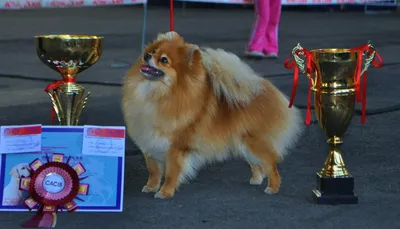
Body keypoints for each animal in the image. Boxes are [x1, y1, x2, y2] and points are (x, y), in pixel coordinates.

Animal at [122, 30, 304, 199]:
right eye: (152, 51)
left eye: (164, 60)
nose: (146, 56)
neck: (155, 93)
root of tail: (263, 86)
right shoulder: (150, 143)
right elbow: (153, 171)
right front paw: (151, 187)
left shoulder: (176, 148)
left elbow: (171, 174)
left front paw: (165, 192)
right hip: (245, 144)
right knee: (257, 164)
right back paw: (256, 179)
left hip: (256, 142)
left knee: (271, 165)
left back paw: (272, 187)